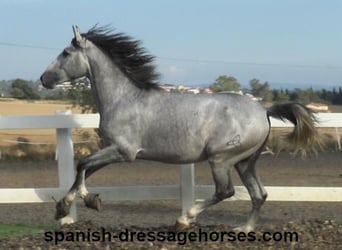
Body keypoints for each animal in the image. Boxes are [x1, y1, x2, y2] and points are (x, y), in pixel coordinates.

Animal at [40, 25, 320, 230]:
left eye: (66, 52)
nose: (43, 79)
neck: (124, 99)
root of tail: (264, 111)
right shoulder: (112, 150)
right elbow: (84, 170)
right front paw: (64, 208)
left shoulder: (123, 152)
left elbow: (82, 165)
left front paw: (86, 201)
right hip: (245, 162)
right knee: (258, 194)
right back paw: (244, 229)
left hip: (221, 159)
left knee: (225, 191)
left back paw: (184, 219)